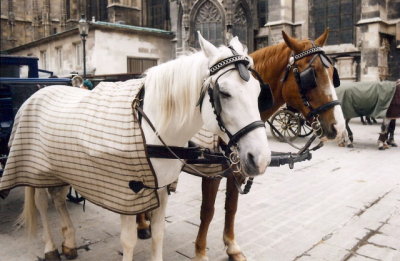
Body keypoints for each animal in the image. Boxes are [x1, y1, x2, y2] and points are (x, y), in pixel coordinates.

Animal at [8, 33, 272, 260]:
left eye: (259, 91)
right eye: (224, 93)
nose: (260, 159)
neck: (151, 129)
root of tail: (39, 91)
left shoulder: (160, 188)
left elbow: (158, 234)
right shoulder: (127, 192)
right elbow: (129, 241)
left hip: (63, 168)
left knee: (59, 198)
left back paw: (69, 242)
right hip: (36, 169)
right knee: (42, 204)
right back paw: (51, 247)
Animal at [192, 29, 346, 258]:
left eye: (333, 73)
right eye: (311, 76)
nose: (339, 127)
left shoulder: (239, 168)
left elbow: (231, 206)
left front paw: (231, 245)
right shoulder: (211, 172)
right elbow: (207, 211)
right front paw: (201, 252)